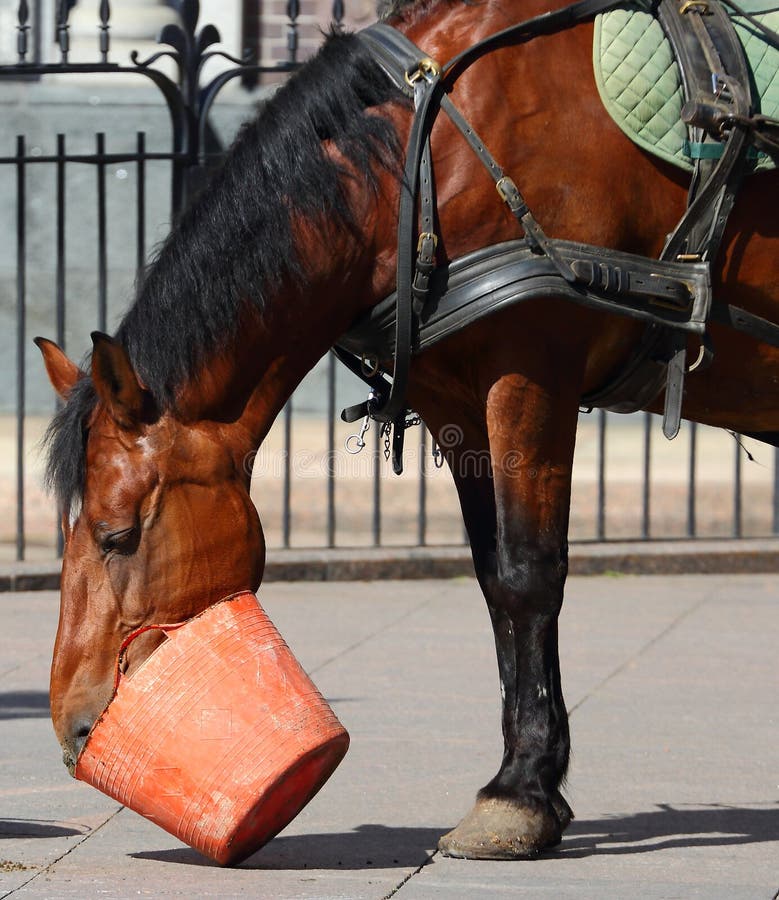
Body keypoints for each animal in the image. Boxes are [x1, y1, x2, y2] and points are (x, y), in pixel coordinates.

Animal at [35, 0, 772, 860]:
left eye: (118, 536)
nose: (74, 727)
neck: (424, 153)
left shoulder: (531, 368)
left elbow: (528, 573)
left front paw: (519, 796)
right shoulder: (456, 400)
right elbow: (493, 582)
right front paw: (531, 782)